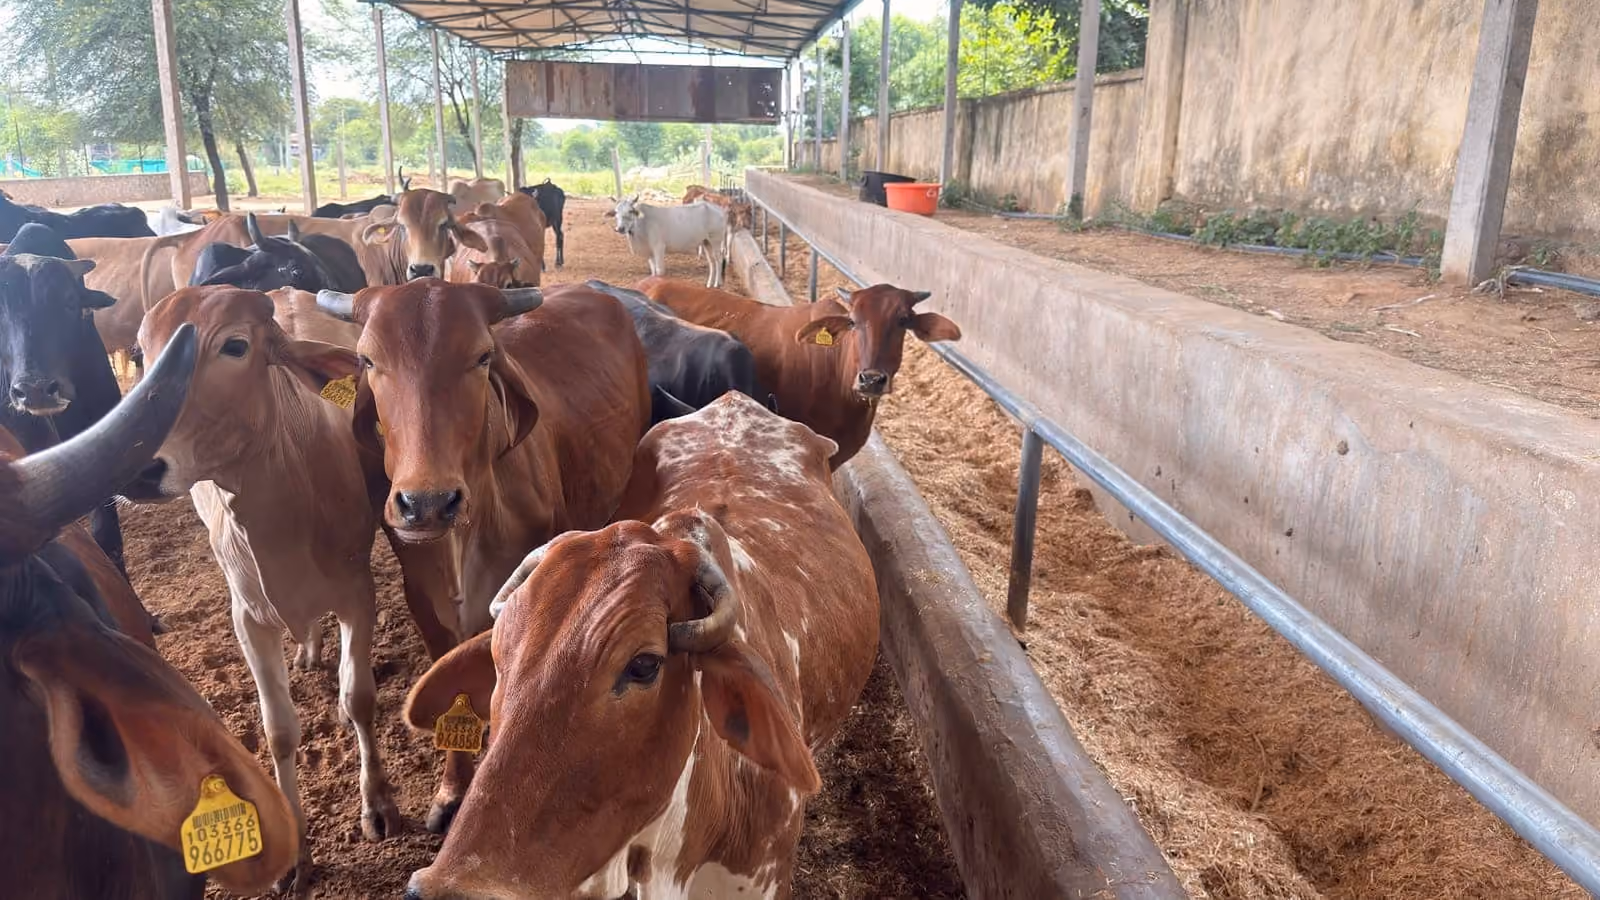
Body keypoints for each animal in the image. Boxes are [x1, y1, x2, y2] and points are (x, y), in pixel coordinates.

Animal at [125, 284, 399, 891]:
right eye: (141, 353)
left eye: (235, 345)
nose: (135, 464)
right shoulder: (247, 617)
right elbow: (278, 730)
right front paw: (296, 856)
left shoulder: (358, 593)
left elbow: (360, 697)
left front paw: (377, 805)